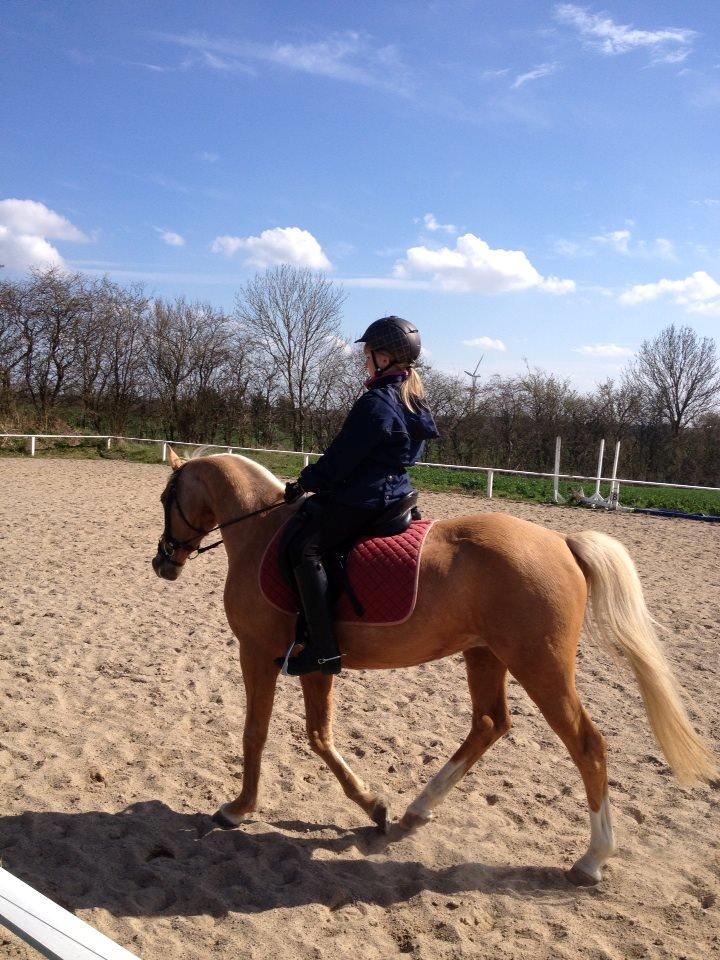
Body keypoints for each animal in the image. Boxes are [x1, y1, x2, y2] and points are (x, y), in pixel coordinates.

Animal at [150, 448, 716, 886]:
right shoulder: (314, 664)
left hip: (541, 667)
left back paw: (592, 858)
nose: (163, 563)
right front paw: (373, 805)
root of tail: (562, 543)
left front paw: (239, 807)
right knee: (490, 722)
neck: (261, 531)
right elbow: (319, 735)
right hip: (485, 654)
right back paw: (419, 808)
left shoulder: (257, 653)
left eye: (165, 499)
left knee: (587, 745)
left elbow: (257, 732)